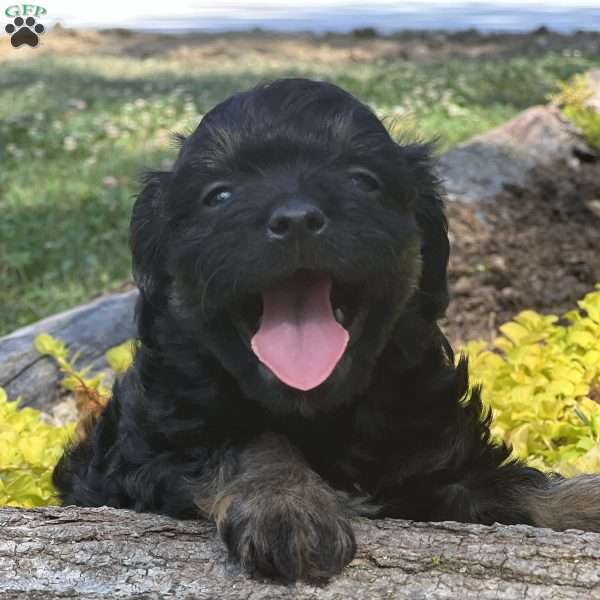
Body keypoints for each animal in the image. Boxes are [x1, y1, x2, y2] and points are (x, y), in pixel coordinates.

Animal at [54, 78, 600, 580]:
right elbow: (248, 442)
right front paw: (288, 503)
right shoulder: (153, 452)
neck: (323, 414)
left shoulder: (447, 463)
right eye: (219, 195)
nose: (295, 218)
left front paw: (584, 500)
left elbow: (521, 487)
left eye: (362, 180)